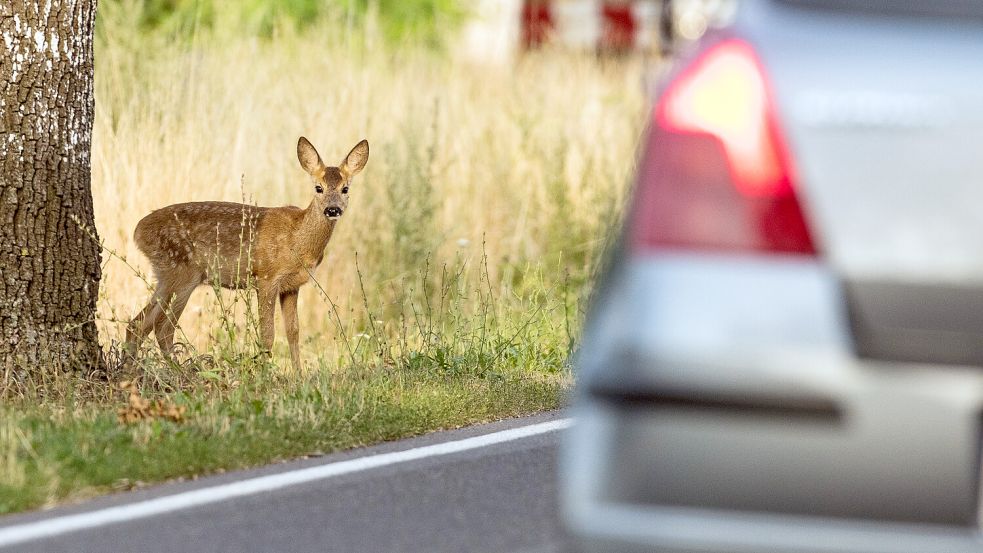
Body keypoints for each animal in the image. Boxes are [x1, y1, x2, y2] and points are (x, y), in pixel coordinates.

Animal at [124, 136, 368, 368]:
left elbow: (293, 333)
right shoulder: (267, 278)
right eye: (319, 188)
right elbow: (268, 335)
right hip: (182, 273)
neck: (298, 240)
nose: (332, 209)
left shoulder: (292, 286)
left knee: (138, 324)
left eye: (345, 189)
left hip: (166, 276)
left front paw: (298, 375)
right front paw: (266, 374)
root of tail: (138, 231)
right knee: (163, 328)